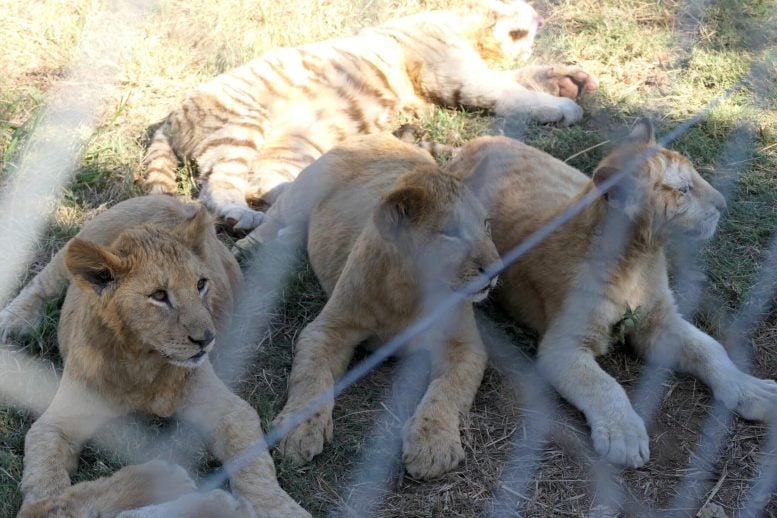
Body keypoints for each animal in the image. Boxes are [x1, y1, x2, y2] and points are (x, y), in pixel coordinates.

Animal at [141, 0, 600, 232]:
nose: (541, 14)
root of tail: (167, 120)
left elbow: (519, 77)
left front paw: (570, 80)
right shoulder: (460, 74)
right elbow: (509, 90)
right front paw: (564, 105)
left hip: (297, 142)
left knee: (264, 179)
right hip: (243, 124)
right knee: (218, 185)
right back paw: (241, 216)